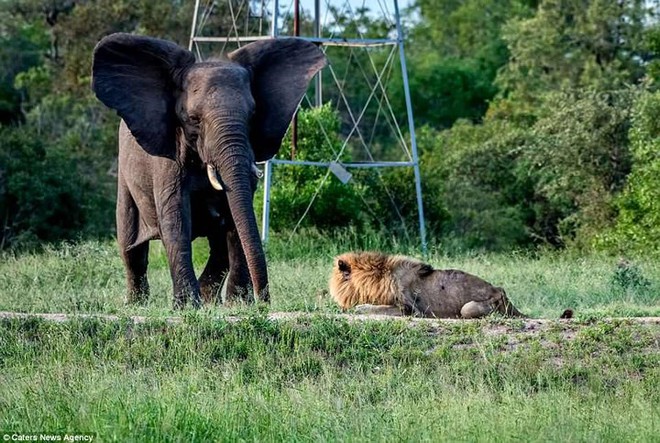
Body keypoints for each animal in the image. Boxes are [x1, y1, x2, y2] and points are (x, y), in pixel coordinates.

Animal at [91, 33, 328, 308]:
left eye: (252, 115)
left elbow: (236, 221)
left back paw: (209, 299)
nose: (265, 301)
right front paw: (187, 307)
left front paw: (239, 305)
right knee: (131, 247)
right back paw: (137, 303)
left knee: (218, 244)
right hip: (126, 179)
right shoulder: (169, 159)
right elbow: (176, 220)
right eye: (193, 119)